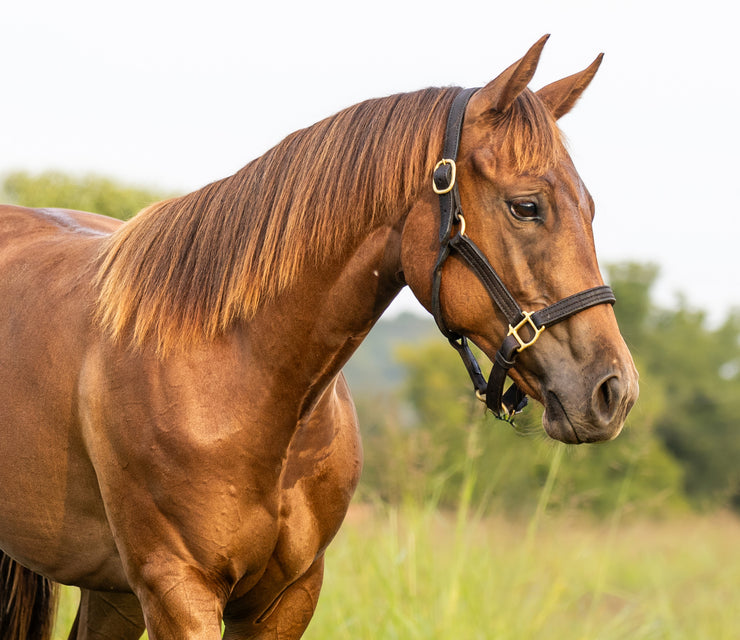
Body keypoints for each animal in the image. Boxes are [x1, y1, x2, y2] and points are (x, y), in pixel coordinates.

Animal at [0, 36, 636, 640]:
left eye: (590, 208)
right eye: (526, 206)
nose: (615, 391)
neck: (244, 374)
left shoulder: (287, 596)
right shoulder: (178, 593)